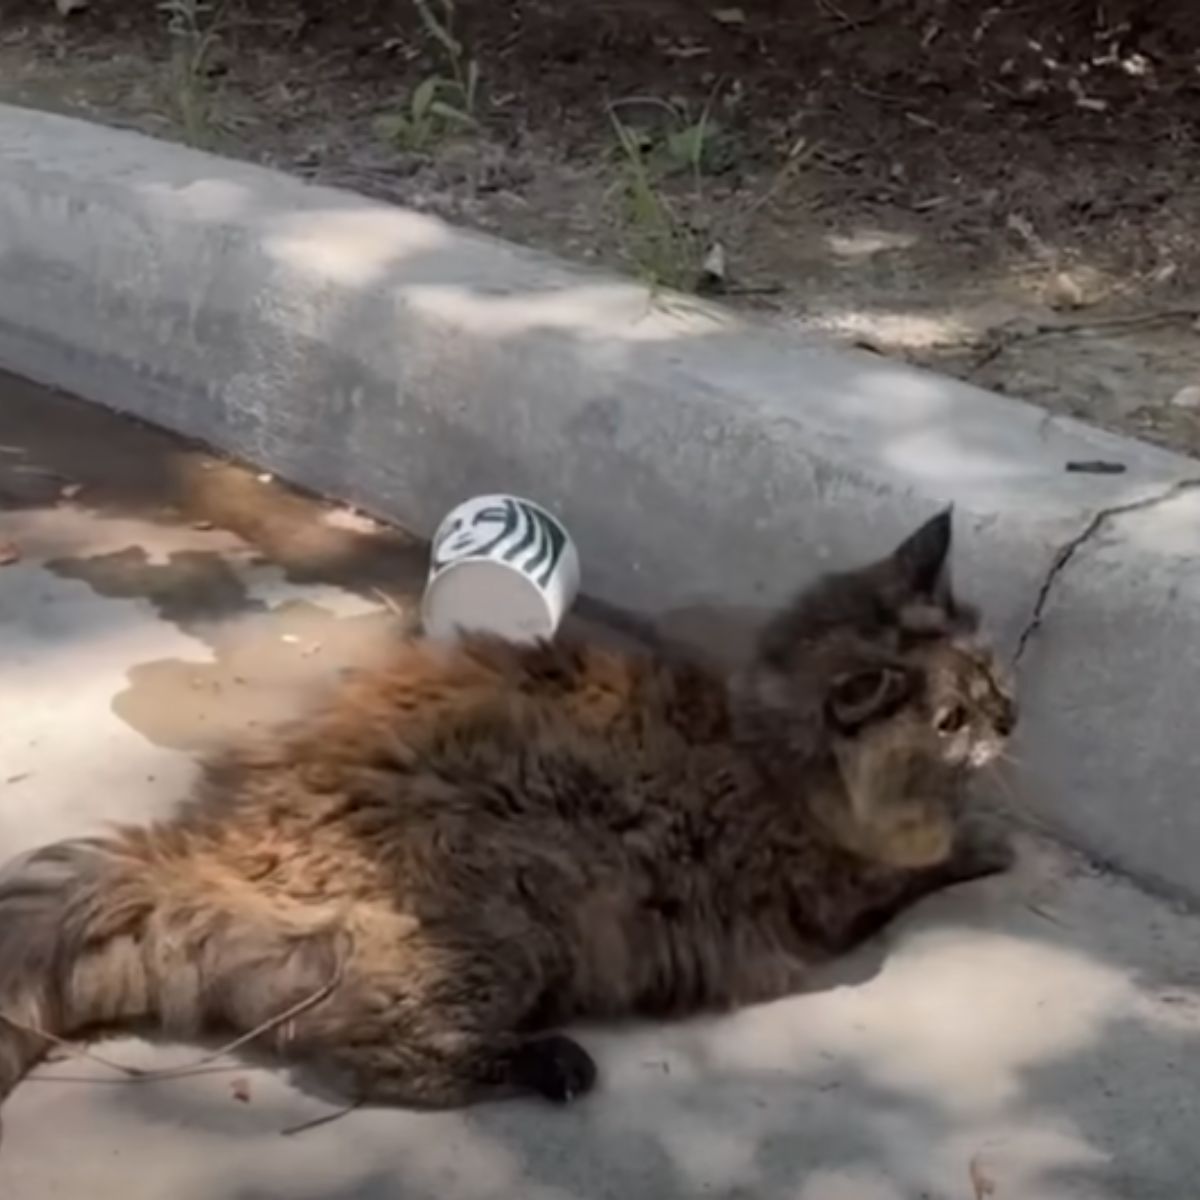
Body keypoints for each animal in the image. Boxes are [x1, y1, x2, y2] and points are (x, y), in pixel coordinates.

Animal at [0, 508, 1012, 1113]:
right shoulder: (837, 898)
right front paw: (987, 842)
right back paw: (551, 1064)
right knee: (378, 1054)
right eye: (951, 719)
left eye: (992, 675)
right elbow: (929, 863)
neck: (769, 746)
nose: (1010, 718)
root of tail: (207, 845)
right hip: (505, 915)